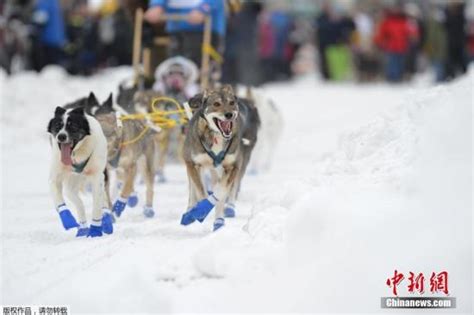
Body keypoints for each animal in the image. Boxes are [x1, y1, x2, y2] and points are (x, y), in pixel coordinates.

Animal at [47, 106, 114, 237]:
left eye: (72, 126)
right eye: (57, 126)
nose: (61, 136)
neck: (76, 156)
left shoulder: (97, 178)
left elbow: (97, 207)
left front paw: (95, 230)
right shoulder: (55, 178)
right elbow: (59, 201)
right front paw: (68, 220)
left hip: (101, 178)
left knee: (103, 199)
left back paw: (106, 219)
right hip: (71, 185)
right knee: (79, 204)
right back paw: (82, 228)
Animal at [181, 85, 260, 231]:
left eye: (231, 103)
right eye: (216, 104)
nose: (229, 114)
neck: (216, 136)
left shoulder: (232, 166)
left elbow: (220, 192)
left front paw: (213, 213)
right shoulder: (193, 164)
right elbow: (200, 190)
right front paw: (198, 210)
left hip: (239, 162)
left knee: (229, 189)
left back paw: (223, 215)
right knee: (193, 188)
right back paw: (190, 211)